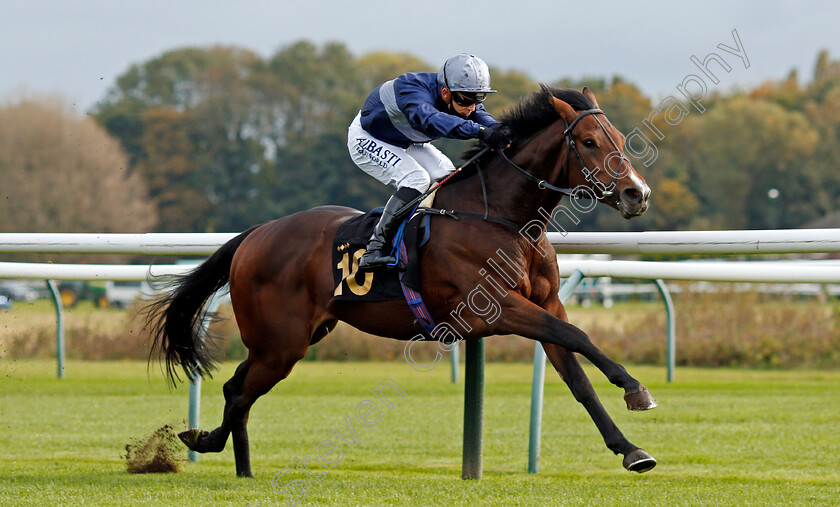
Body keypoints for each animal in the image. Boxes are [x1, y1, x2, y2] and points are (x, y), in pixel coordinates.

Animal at [144, 85, 656, 478]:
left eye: (617, 137)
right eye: (588, 142)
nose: (638, 194)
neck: (502, 217)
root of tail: (255, 234)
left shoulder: (546, 304)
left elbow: (576, 374)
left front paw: (631, 449)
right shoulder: (496, 310)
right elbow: (578, 336)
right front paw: (635, 388)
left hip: (296, 337)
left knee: (239, 390)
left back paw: (232, 460)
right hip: (280, 342)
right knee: (239, 392)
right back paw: (209, 446)